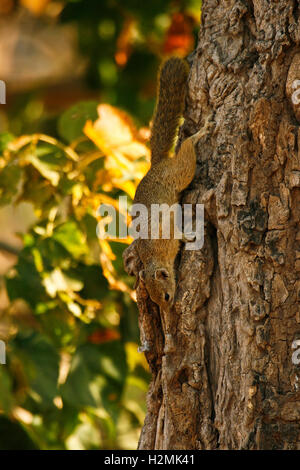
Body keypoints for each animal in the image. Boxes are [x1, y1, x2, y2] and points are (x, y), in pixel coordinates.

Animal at [123, 57, 212, 310]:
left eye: (164, 296)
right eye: (154, 298)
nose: (168, 307)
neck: (157, 256)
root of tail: (155, 166)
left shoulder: (167, 232)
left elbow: (179, 234)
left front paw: (188, 237)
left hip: (179, 173)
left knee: (187, 153)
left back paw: (200, 133)